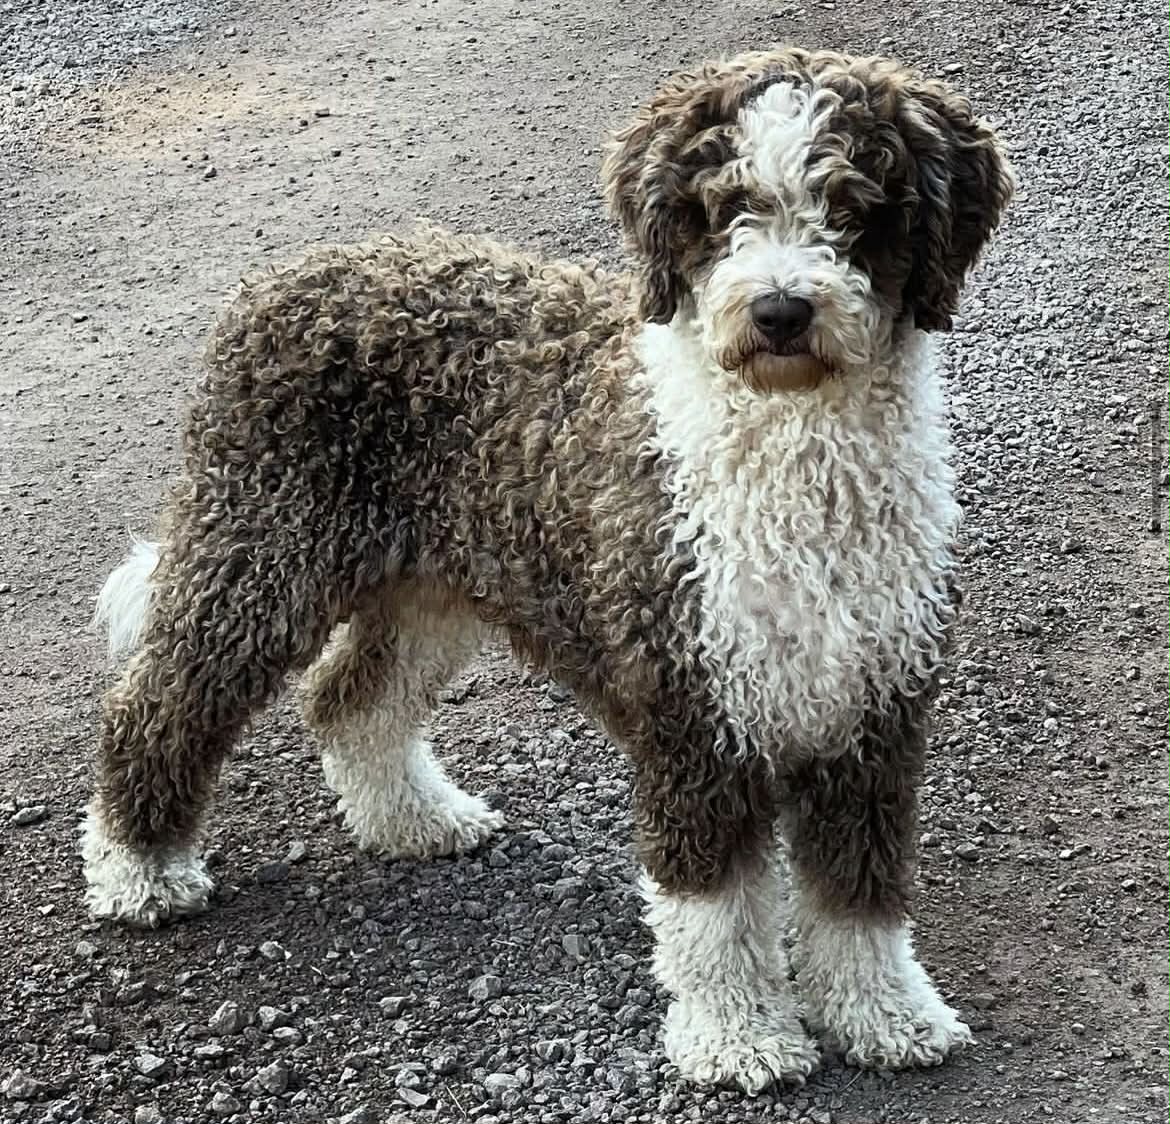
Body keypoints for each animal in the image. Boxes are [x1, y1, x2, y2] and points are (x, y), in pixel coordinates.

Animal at [82, 46, 1013, 1093]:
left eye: (855, 206)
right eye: (725, 205)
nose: (780, 310)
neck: (793, 449)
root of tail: (287, 277)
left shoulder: (871, 712)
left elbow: (860, 896)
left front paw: (885, 1015)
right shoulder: (696, 712)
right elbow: (716, 912)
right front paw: (736, 1037)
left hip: (431, 584)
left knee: (351, 701)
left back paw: (414, 819)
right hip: (260, 560)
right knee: (158, 703)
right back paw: (136, 869)